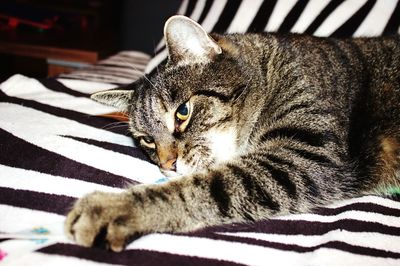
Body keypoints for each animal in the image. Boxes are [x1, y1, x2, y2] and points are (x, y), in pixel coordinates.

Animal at [65, 15, 400, 252]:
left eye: (182, 112)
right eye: (147, 140)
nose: (166, 165)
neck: (272, 73)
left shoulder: (306, 155)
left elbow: (205, 186)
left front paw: (113, 207)